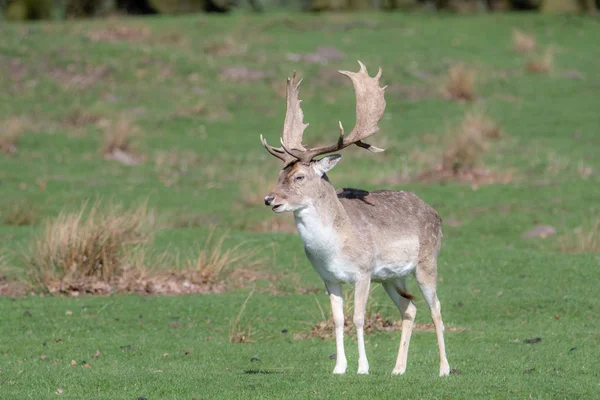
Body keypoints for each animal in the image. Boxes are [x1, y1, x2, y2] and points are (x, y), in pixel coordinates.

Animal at [260, 61, 448, 376]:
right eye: (279, 174)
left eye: (299, 177)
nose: (269, 199)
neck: (334, 246)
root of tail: (436, 214)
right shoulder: (329, 278)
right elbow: (338, 320)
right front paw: (339, 368)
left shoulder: (363, 272)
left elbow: (359, 318)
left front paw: (362, 367)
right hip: (391, 277)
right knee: (409, 308)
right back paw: (398, 369)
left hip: (426, 262)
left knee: (436, 308)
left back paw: (444, 369)